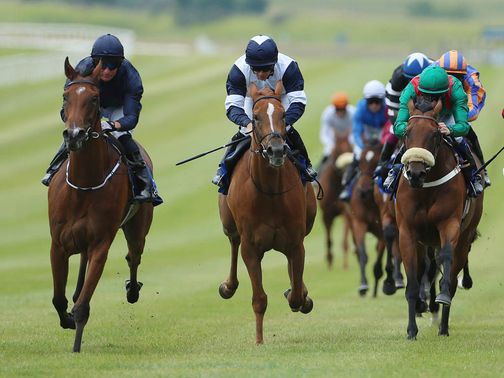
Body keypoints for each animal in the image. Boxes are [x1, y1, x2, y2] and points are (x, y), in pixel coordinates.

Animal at [47, 57, 154, 352]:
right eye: (66, 96)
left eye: (94, 99)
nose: (74, 134)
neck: (84, 185)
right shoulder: (58, 244)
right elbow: (58, 299)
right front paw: (66, 319)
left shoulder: (99, 246)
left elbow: (83, 306)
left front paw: (76, 344)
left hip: (138, 228)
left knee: (133, 256)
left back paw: (132, 290)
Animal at [219, 81, 316, 344]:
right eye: (255, 116)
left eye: (283, 114)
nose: (276, 150)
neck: (269, 193)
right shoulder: (251, 248)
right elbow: (259, 299)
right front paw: (259, 340)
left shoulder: (295, 242)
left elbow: (296, 293)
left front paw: (300, 296)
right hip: (228, 223)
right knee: (232, 242)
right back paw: (228, 286)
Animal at [318, 133, 354, 268]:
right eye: (338, 150)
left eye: (350, 147)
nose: (347, 166)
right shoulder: (326, 214)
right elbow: (328, 239)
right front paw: (329, 260)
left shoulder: (345, 212)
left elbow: (344, 240)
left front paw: (345, 265)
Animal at [346, 140, 390, 296]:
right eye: (360, 163)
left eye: (377, 162)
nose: (363, 191)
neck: (369, 202)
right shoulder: (359, 223)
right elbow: (363, 254)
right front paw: (363, 285)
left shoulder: (383, 228)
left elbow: (379, 255)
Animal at [396, 98, 482, 340]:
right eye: (406, 132)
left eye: (435, 134)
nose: (415, 173)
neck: (426, 188)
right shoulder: (407, 231)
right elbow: (413, 280)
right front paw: (411, 330)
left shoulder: (449, 224)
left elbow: (446, 258)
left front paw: (440, 300)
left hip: (464, 237)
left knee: (451, 276)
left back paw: (443, 327)